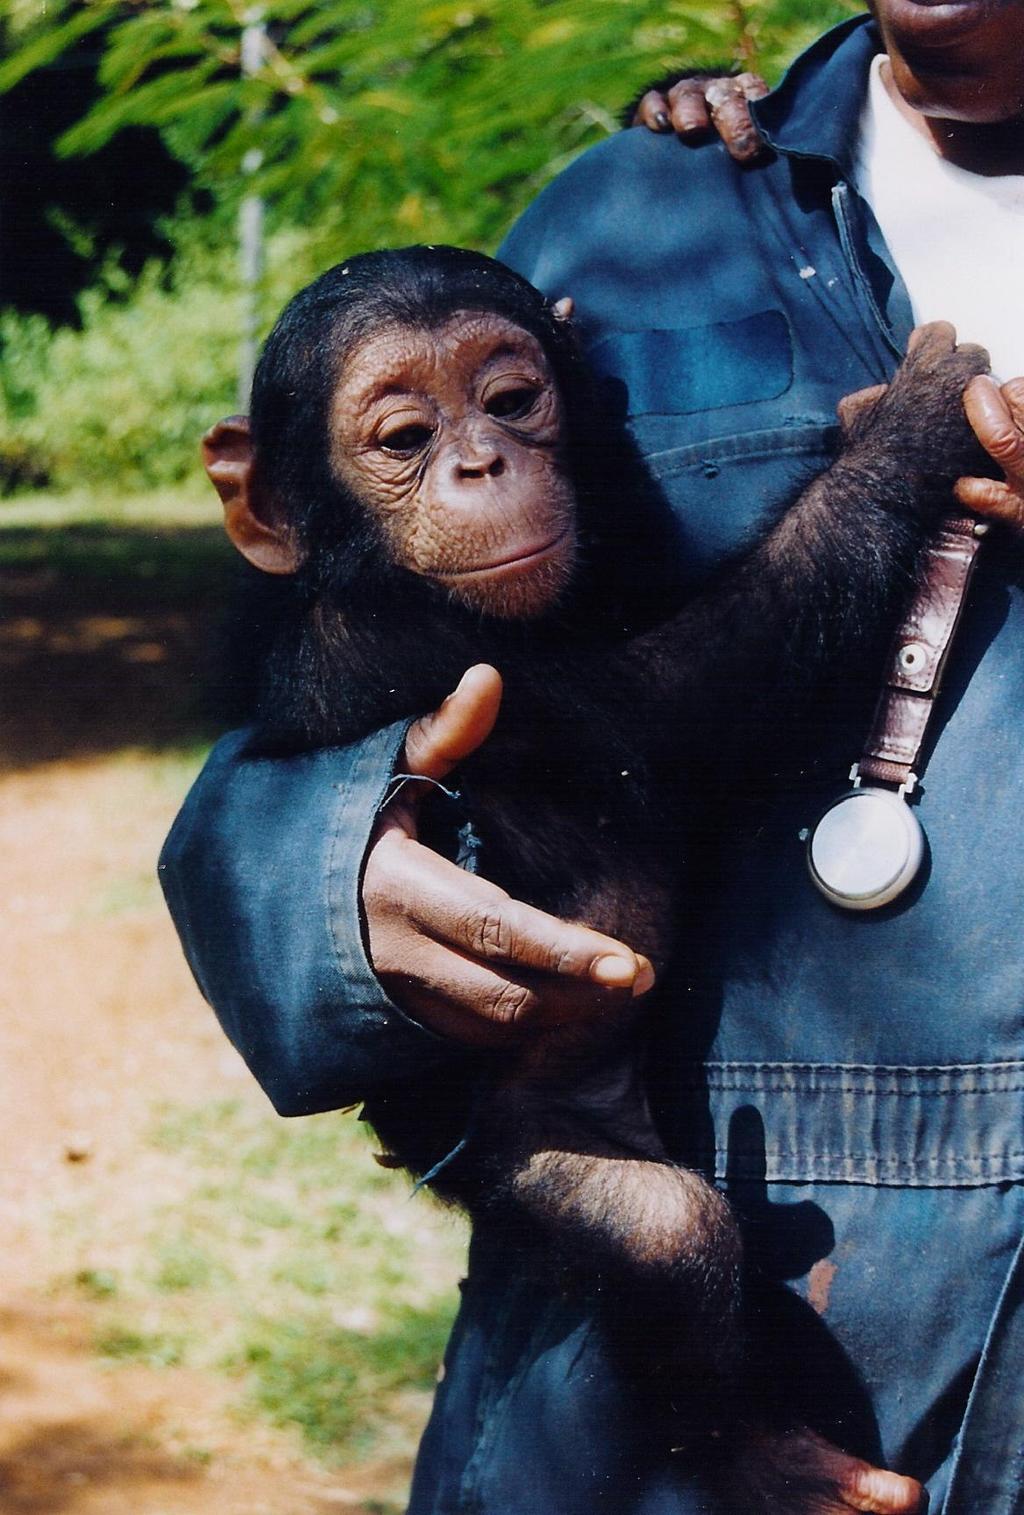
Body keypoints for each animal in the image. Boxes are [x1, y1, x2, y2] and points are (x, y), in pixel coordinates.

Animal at [201, 245, 993, 1502]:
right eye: (403, 437)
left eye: (512, 399)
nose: (481, 461)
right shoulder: (417, 648)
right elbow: (665, 709)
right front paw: (915, 421)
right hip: (523, 1151)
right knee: (665, 1236)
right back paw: (766, 1456)